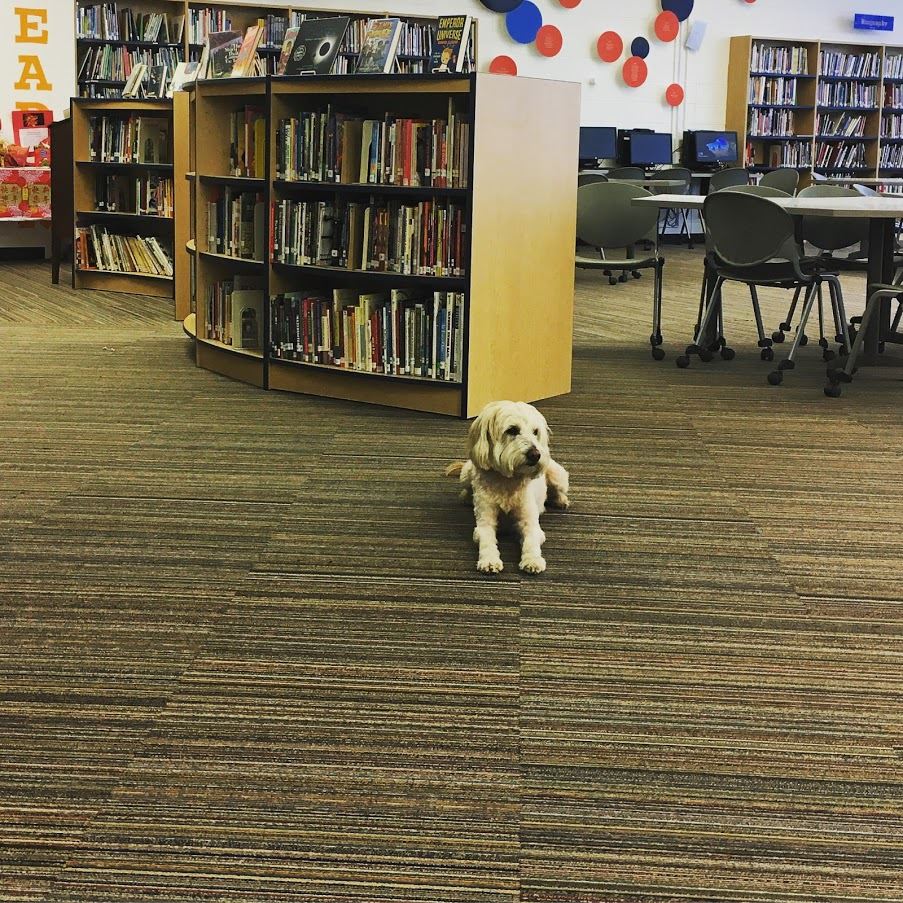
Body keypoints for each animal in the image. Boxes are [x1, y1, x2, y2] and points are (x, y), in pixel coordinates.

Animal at [446, 400, 568, 576]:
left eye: (535, 432)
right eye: (512, 430)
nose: (535, 454)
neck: (507, 480)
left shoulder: (529, 520)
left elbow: (531, 540)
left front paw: (532, 560)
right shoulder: (485, 520)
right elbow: (487, 539)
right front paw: (489, 560)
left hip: (557, 474)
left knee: (558, 489)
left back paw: (560, 500)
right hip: (466, 472)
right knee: (467, 487)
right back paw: (467, 497)